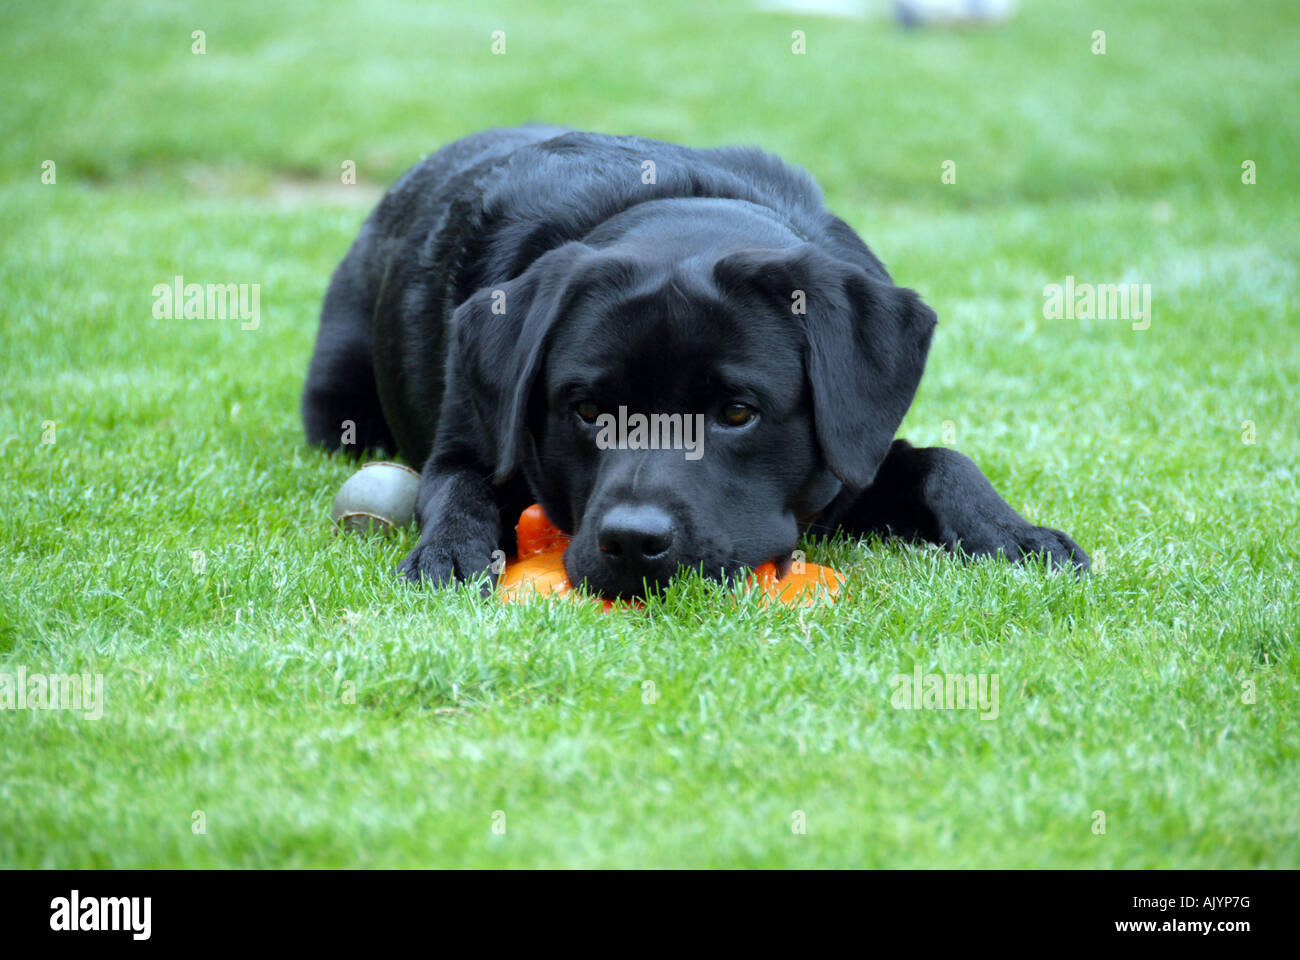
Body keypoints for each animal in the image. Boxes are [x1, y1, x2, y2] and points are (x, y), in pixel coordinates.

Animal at [304, 123, 1086, 595]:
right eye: (587, 410)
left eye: (738, 413)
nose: (631, 542)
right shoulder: (465, 444)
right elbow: (456, 489)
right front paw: (454, 552)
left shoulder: (854, 459)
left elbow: (944, 461)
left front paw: (1016, 535)